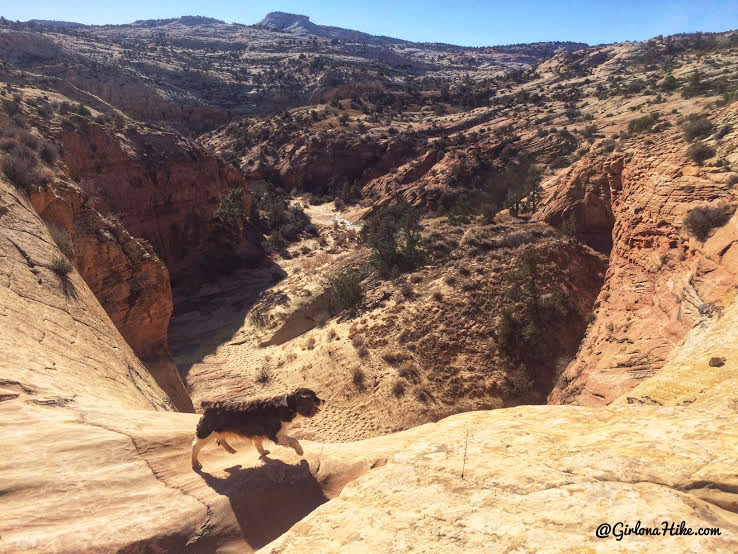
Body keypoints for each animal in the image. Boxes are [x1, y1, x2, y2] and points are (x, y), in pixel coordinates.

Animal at [191, 386, 324, 468]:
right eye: (314, 398)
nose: (324, 400)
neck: (287, 405)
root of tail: (208, 404)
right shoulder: (275, 435)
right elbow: (294, 440)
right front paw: (300, 452)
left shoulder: (259, 433)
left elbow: (258, 444)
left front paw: (263, 452)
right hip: (205, 433)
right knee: (195, 446)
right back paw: (195, 464)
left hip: (217, 430)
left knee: (220, 438)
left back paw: (230, 449)